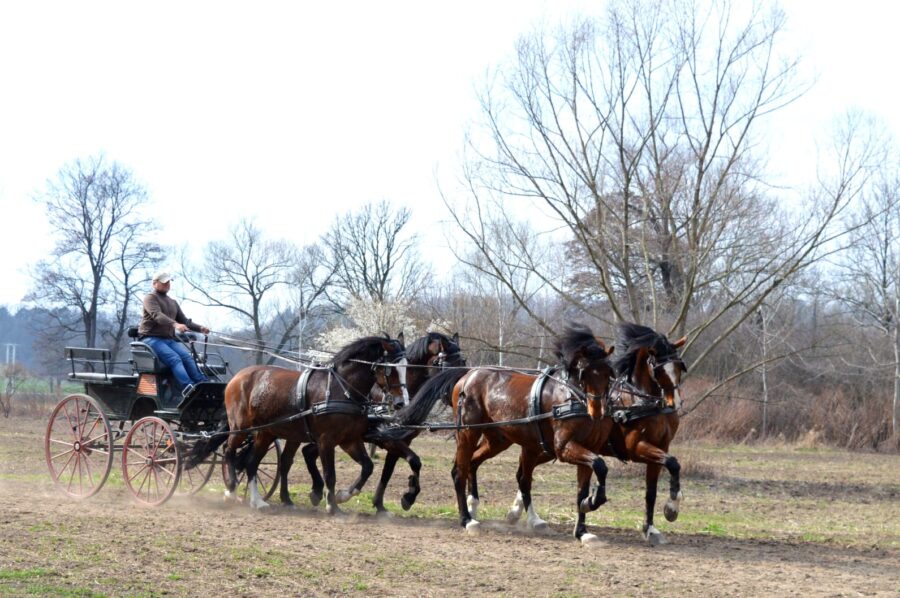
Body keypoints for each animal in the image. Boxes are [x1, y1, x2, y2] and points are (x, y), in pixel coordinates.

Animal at [190, 338, 408, 516]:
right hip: (240, 427)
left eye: (406, 366)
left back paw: (258, 501)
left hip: (265, 432)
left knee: (252, 462)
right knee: (229, 451)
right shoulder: (326, 440)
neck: (342, 389)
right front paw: (332, 506)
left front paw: (343, 495)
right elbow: (330, 474)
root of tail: (237, 378)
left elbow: (368, 466)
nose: (401, 403)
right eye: (391, 369)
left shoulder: (349, 440)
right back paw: (231, 490)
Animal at [298, 330, 468, 512]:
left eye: (463, 363)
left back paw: (316, 491)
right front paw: (407, 496)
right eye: (448, 365)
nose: (459, 392)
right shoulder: (387, 439)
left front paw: (383, 503)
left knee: (308, 451)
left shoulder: (402, 441)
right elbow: (413, 461)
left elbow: (391, 471)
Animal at [388, 326, 620, 548]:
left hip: (497, 440)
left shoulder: (585, 448)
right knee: (459, 471)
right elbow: (600, 465)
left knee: (474, 464)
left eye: (608, 373)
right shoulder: (563, 447)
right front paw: (593, 501)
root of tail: (467, 376)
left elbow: (582, 487)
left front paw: (583, 530)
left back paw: (474, 508)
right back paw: (466, 520)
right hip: (468, 432)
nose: (597, 411)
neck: (570, 396)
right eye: (583, 373)